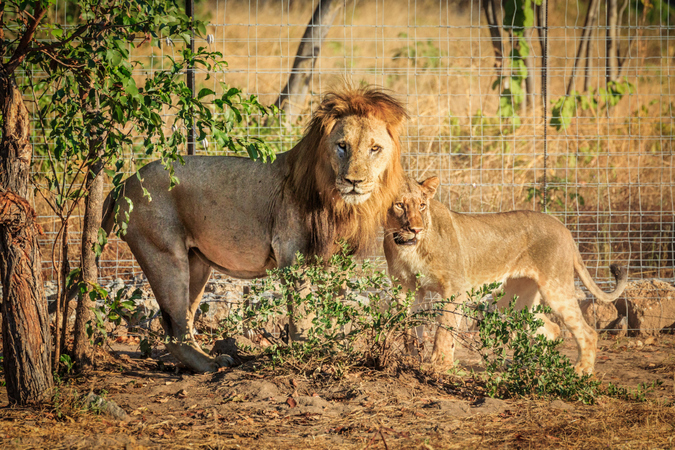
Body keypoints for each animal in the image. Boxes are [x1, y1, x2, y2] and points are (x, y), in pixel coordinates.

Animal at [101, 86, 406, 370]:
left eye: (374, 149)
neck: (340, 204)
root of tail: (124, 183)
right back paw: (211, 365)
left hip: (196, 262)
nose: (354, 181)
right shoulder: (293, 258)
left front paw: (335, 350)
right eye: (342, 146)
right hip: (164, 255)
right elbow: (302, 315)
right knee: (174, 330)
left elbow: (334, 311)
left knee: (183, 321)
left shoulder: (339, 262)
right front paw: (305, 355)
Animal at [386, 176, 628, 376]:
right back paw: (532, 365)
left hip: (555, 287)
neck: (411, 248)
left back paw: (581, 371)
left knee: (587, 332)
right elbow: (407, 326)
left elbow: (444, 328)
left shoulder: (455, 288)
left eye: (422, 205)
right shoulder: (406, 288)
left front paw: (439, 365)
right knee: (552, 328)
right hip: (515, 300)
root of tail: (564, 227)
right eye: (399, 205)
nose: (415, 229)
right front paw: (409, 359)